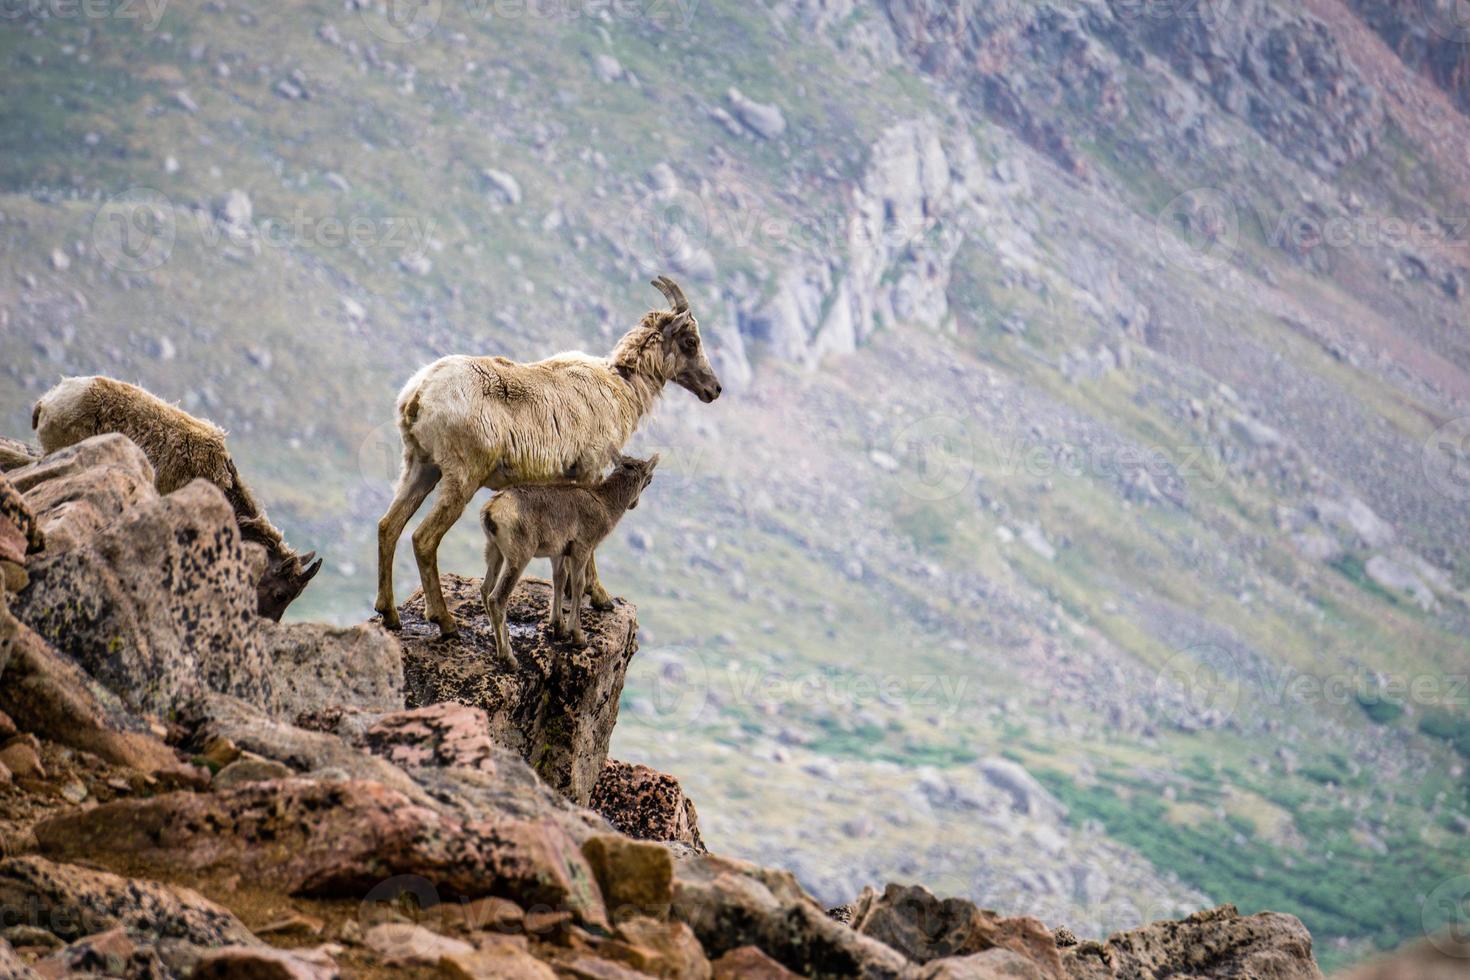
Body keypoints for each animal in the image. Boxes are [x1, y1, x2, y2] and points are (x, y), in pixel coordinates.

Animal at [379, 277, 723, 643]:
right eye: (690, 340)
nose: (714, 389)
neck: (620, 386)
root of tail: (418, 395)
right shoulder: (589, 469)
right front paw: (599, 598)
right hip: (462, 475)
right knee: (423, 538)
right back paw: (444, 621)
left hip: (420, 465)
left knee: (388, 526)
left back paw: (390, 614)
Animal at [479, 452, 658, 667]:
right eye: (649, 479)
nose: (634, 504)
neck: (604, 504)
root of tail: (491, 510)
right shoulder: (581, 549)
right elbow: (578, 585)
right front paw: (578, 637)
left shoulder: (558, 553)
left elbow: (559, 579)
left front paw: (559, 629)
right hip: (519, 557)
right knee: (497, 598)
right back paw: (508, 657)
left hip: (493, 550)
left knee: (485, 588)